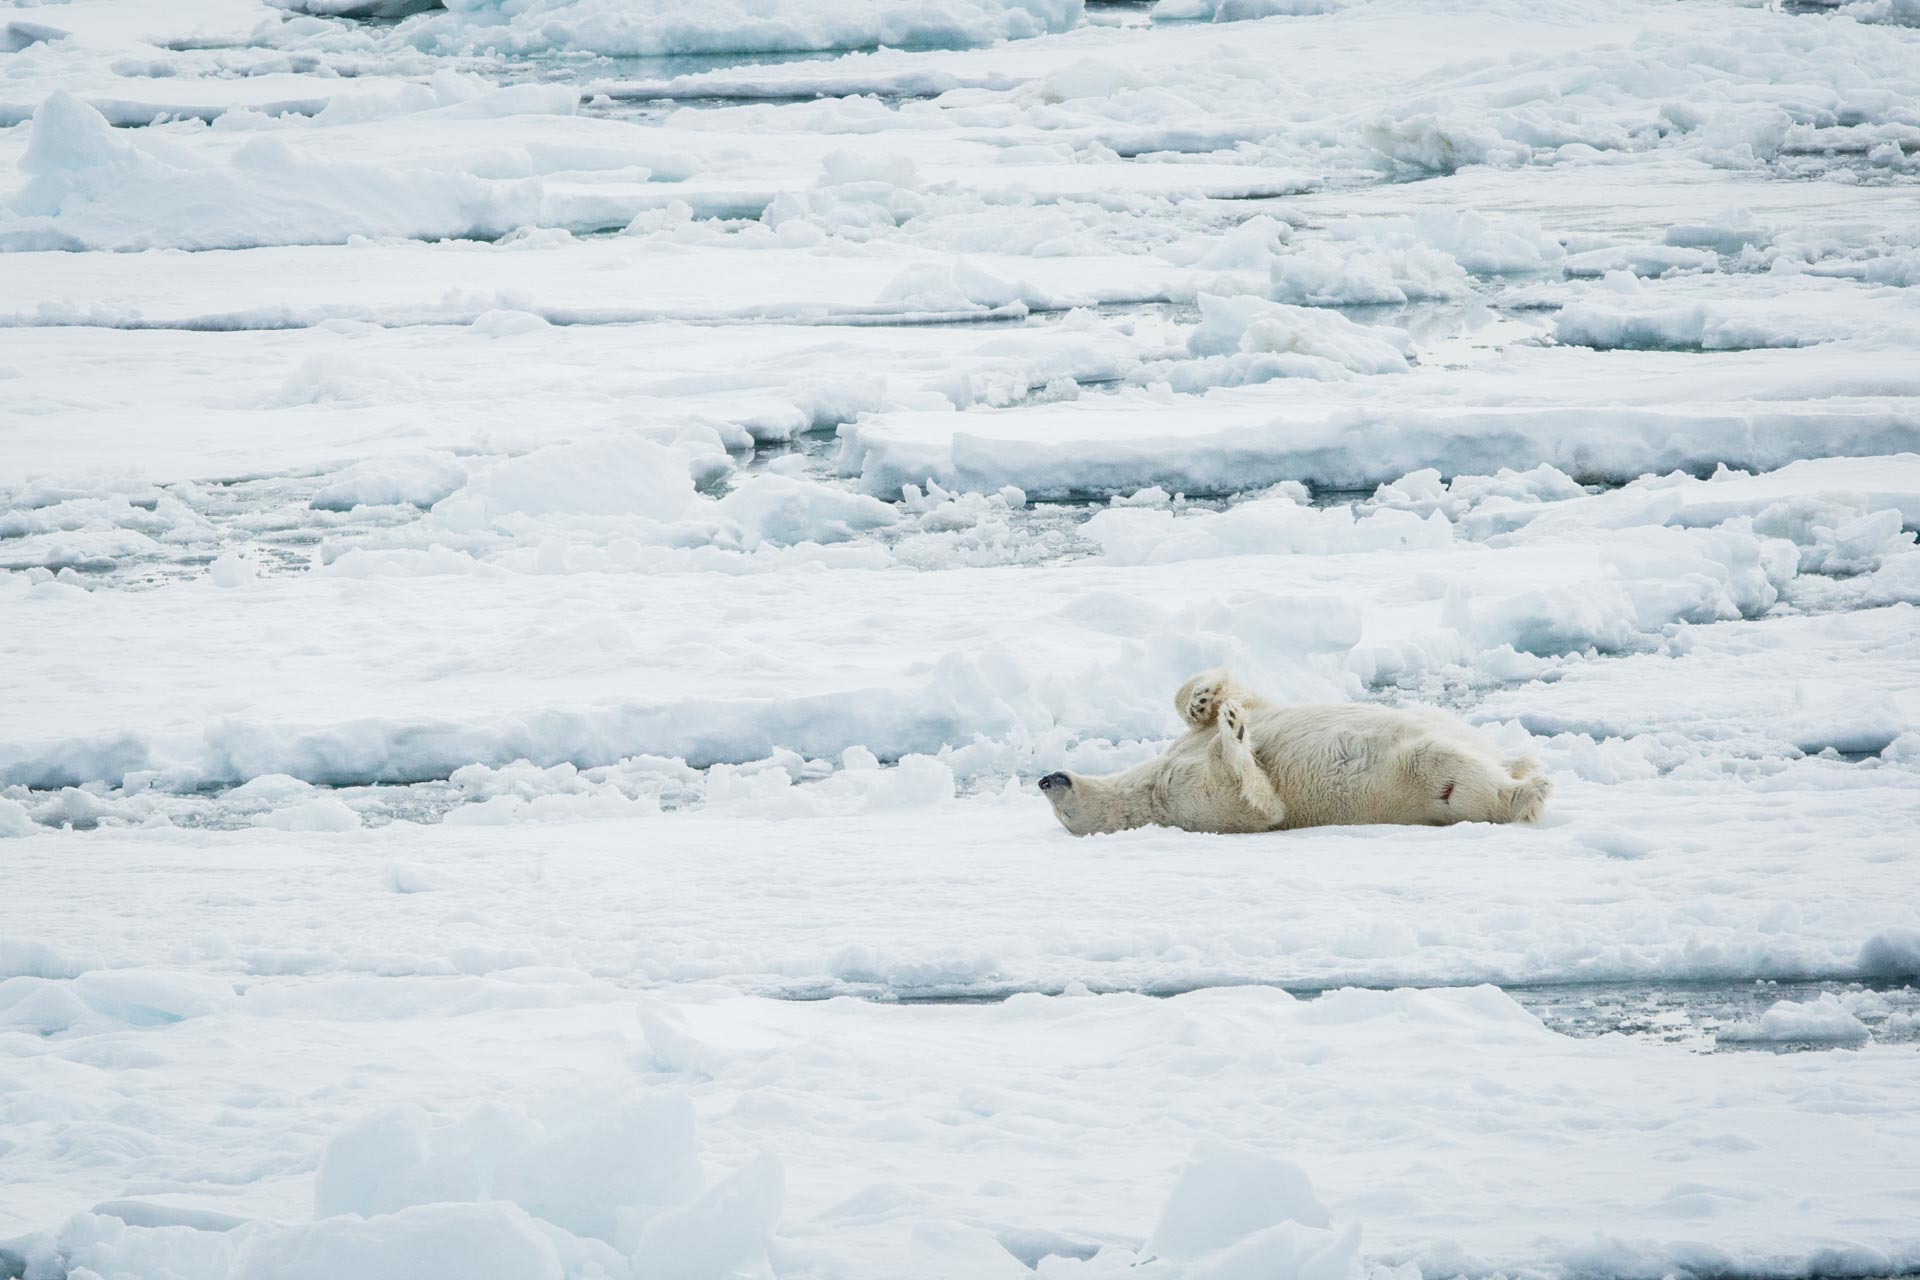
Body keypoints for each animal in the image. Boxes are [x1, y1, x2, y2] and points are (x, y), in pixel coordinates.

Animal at [1037, 668, 1551, 837]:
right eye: (1063, 816)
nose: (1044, 779)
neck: (1144, 788)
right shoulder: (1183, 803)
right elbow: (1255, 803)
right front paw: (1231, 733)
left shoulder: (1178, 754)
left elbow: (1239, 703)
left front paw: (1210, 703)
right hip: (1418, 781)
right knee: (1450, 773)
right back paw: (1529, 791)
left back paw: (1523, 762)